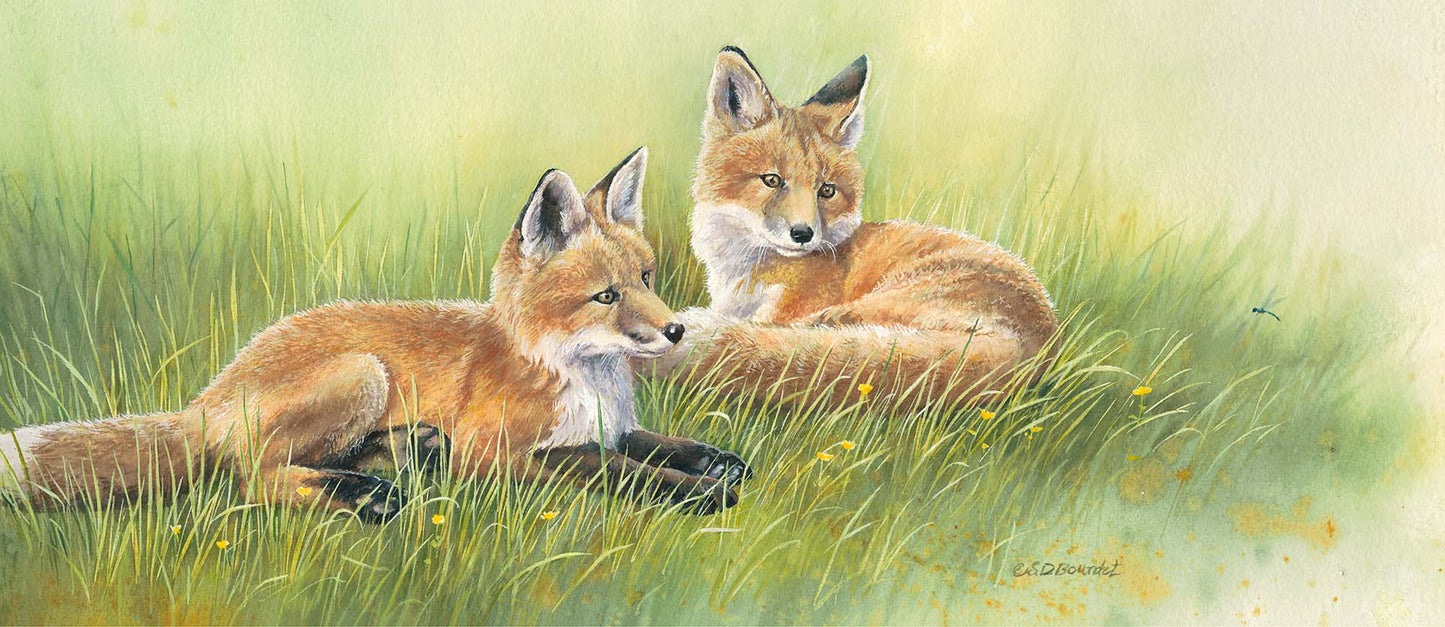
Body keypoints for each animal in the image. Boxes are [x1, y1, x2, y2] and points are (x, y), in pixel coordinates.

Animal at [0, 148, 749, 520]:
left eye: (647, 277)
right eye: (606, 296)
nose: (675, 330)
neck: (576, 374)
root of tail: (209, 394)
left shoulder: (610, 425)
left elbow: (652, 444)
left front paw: (714, 459)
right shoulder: (500, 452)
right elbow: (615, 468)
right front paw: (702, 492)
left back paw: (399, 457)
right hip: (362, 372)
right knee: (248, 479)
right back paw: (365, 497)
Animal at [646, 47, 1059, 410]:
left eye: (826, 191)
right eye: (772, 180)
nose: (803, 234)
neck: (747, 273)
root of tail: (1031, 349)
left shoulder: (783, 312)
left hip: (870, 305)